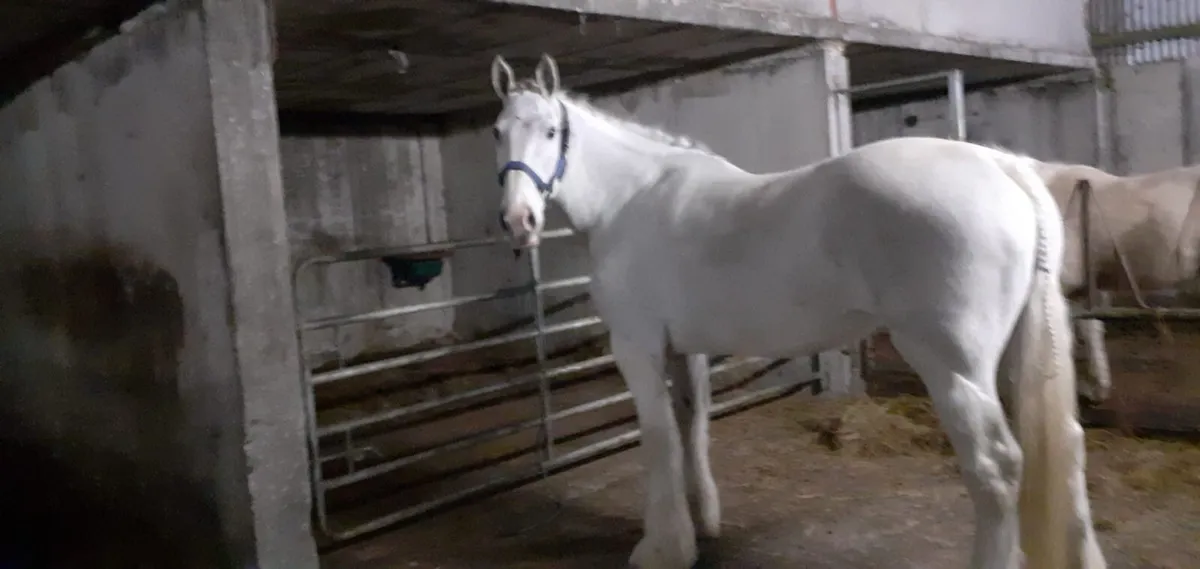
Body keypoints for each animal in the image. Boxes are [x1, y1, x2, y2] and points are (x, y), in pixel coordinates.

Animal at [487, 53, 1105, 569]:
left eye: (550, 131)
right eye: (498, 132)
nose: (519, 222)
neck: (632, 197)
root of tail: (1004, 168)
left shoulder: (637, 347)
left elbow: (658, 437)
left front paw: (661, 547)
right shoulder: (685, 349)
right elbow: (692, 426)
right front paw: (702, 523)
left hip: (952, 366)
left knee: (996, 468)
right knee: (1069, 447)